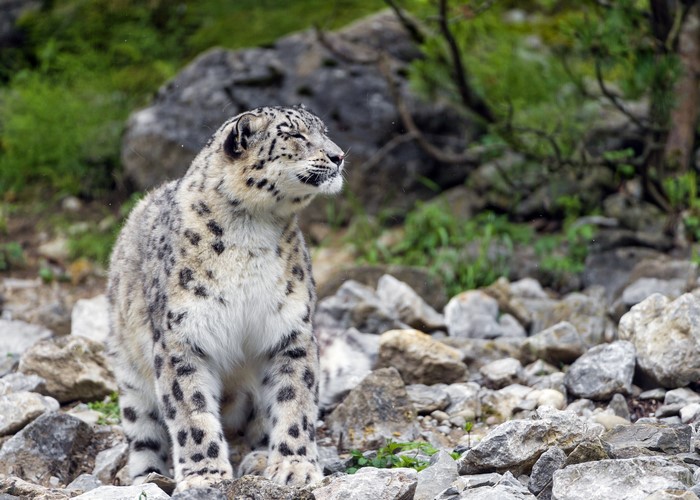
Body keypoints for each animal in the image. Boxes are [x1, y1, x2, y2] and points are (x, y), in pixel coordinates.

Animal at [106, 105, 345, 492]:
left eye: (323, 131)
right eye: (294, 134)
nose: (339, 156)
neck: (251, 233)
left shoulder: (290, 331)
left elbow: (295, 401)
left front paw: (294, 466)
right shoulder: (182, 339)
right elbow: (191, 412)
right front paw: (205, 475)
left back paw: (259, 458)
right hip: (131, 377)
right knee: (144, 435)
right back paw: (150, 476)